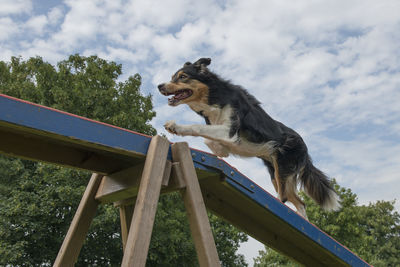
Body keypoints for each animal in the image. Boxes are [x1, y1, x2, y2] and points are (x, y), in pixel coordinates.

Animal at [158, 57, 340, 219]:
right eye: (172, 77)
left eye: (183, 77)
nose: (159, 86)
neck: (214, 95)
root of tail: (305, 147)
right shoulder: (222, 133)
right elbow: (209, 140)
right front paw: (221, 153)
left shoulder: (228, 131)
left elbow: (199, 128)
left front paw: (176, 127)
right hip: (276, 174)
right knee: (299, 202)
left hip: (282, 168)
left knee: (284, 198)